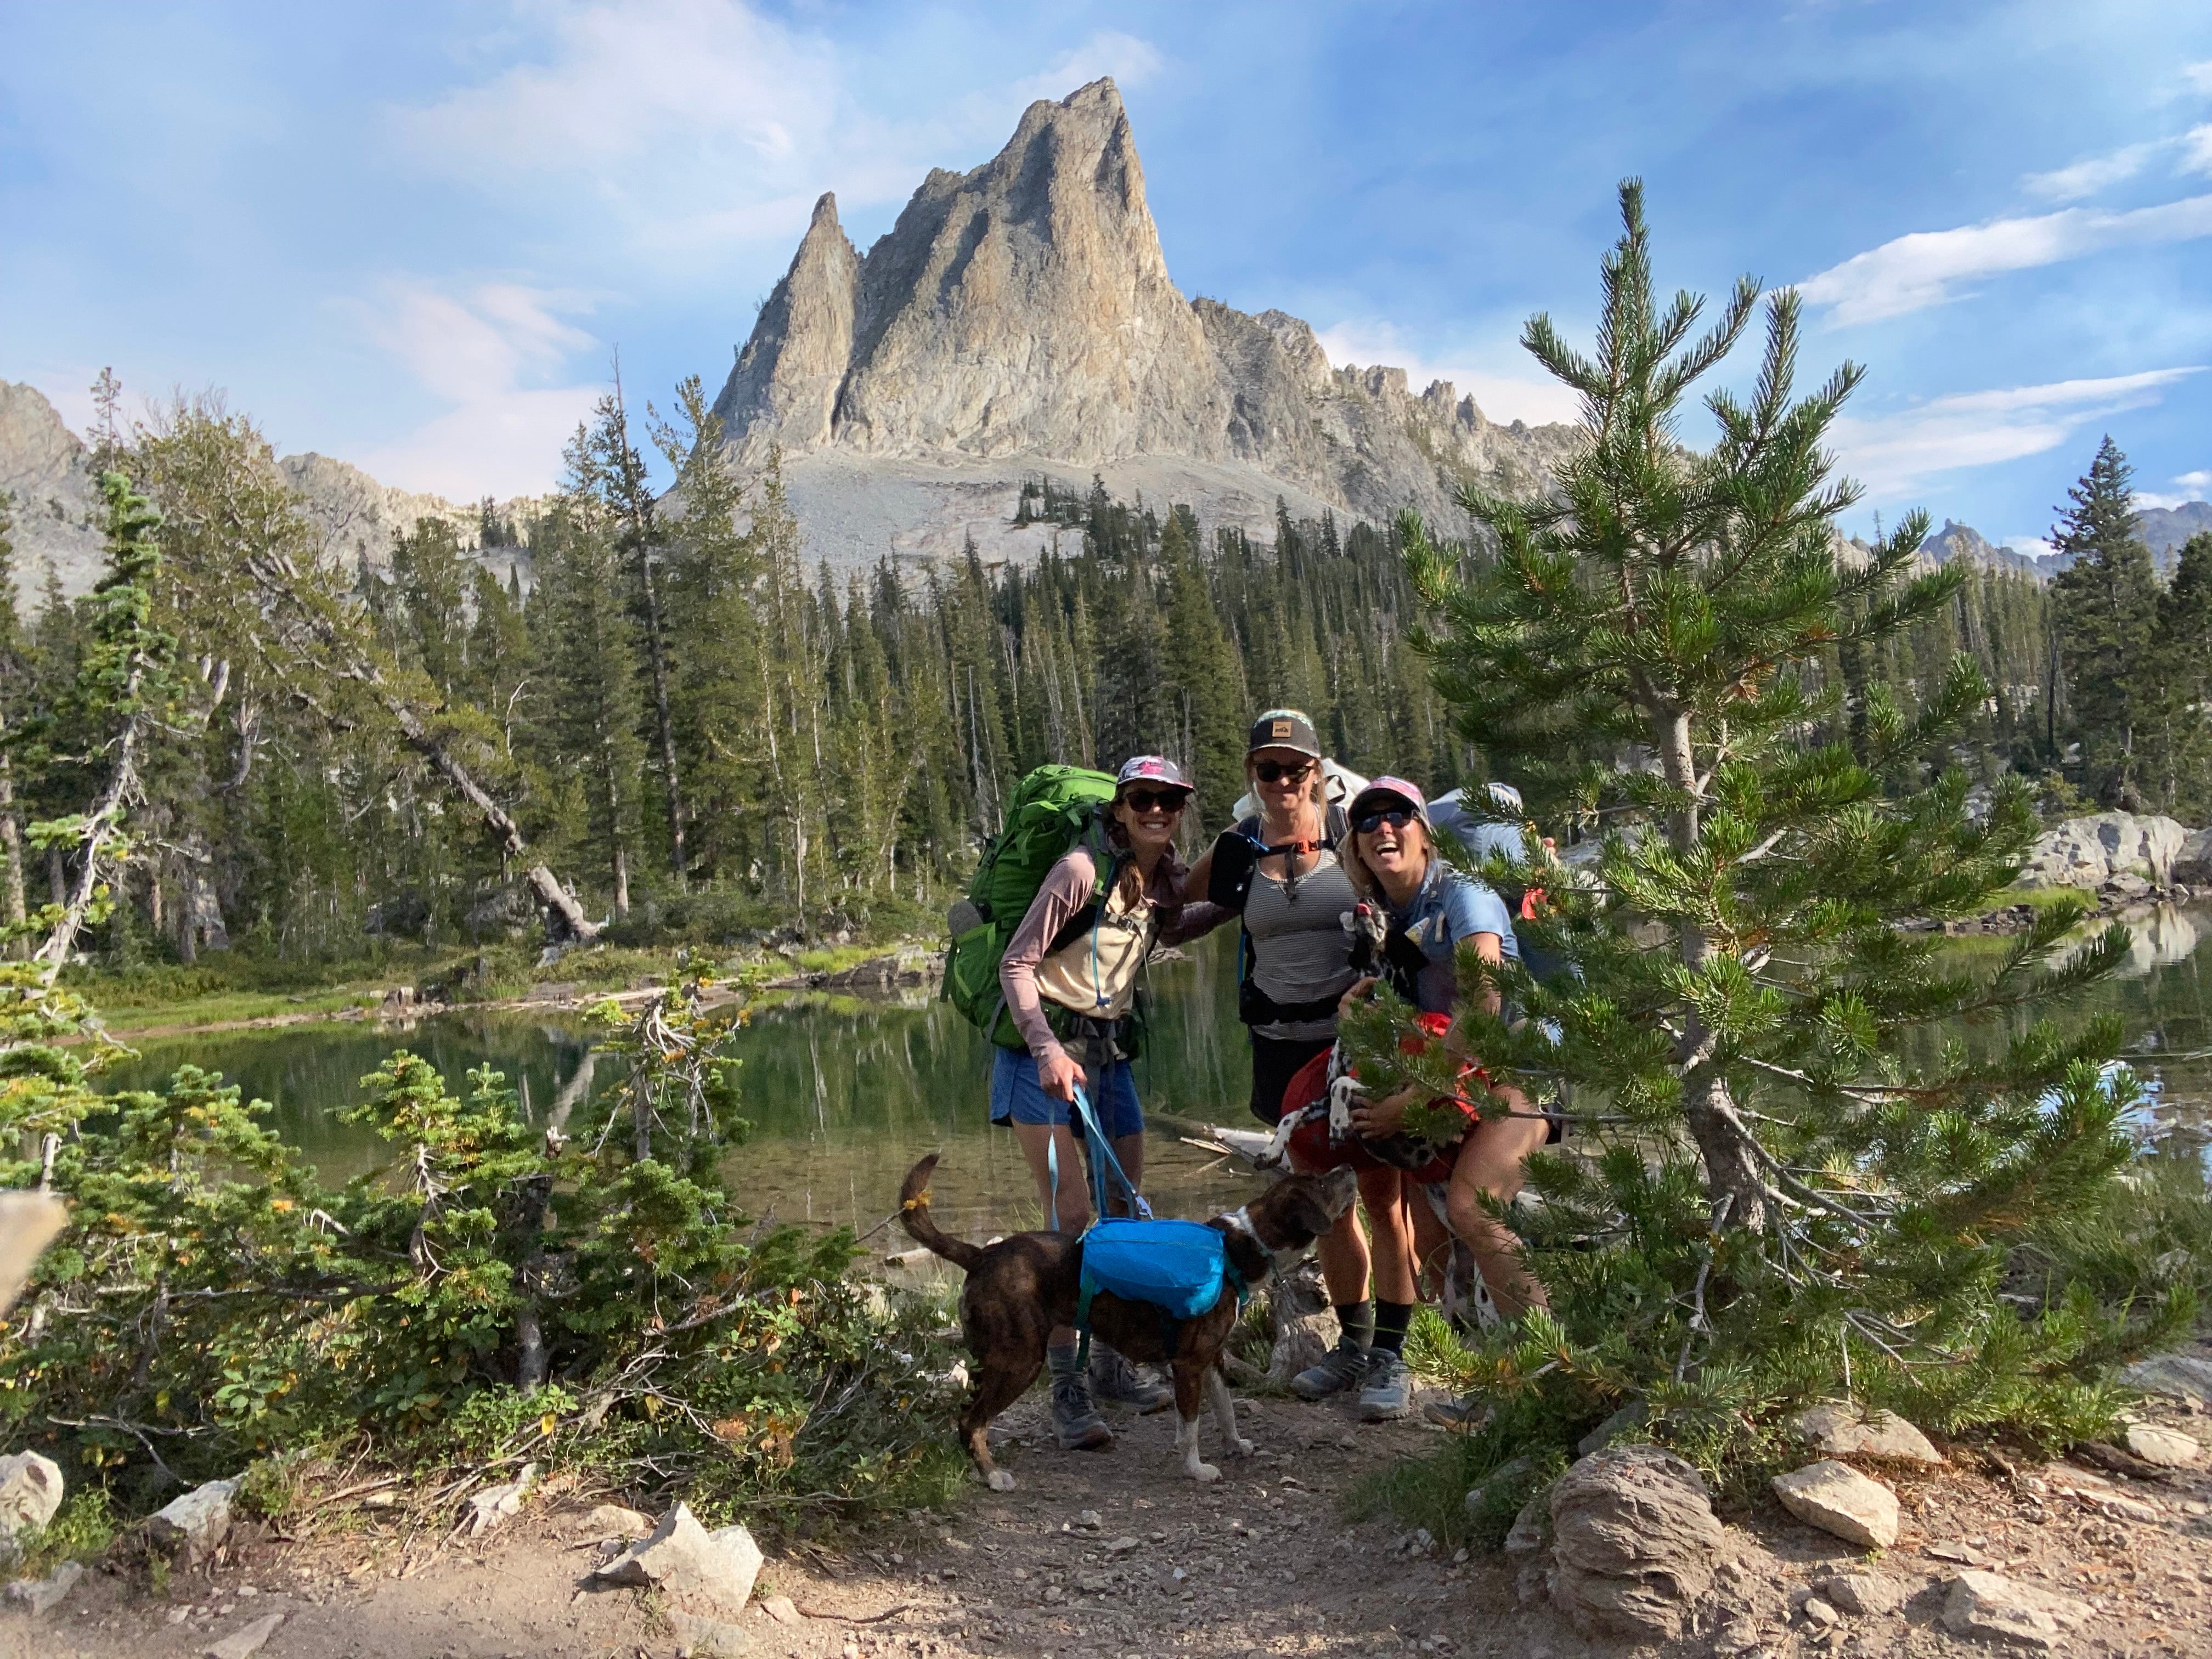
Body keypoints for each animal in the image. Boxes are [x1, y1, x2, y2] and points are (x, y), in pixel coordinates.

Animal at [893, 1159, 1345, 1495]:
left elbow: (1227, 1409)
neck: (1240, 1246)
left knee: (966, 1416)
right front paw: (1196, 1470)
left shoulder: (1213, 1357)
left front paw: (1236, 1446)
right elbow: (1191, 1427)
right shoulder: (1188, 1364)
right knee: (972, 1421)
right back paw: (993, 1476)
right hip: (1018, 1360)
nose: (1348, 1168)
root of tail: (982, 1255)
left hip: (995, 1359)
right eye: (1322, 1183)